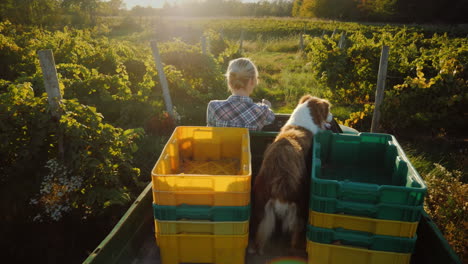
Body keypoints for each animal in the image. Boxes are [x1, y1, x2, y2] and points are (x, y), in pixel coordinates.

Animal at [252, 94, 332, 254]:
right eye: (329, 110)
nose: (332, 118)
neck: (300, 124)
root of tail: (280, 186)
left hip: (262, 206)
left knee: (260, 232)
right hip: (300, 205)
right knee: (296, 233)